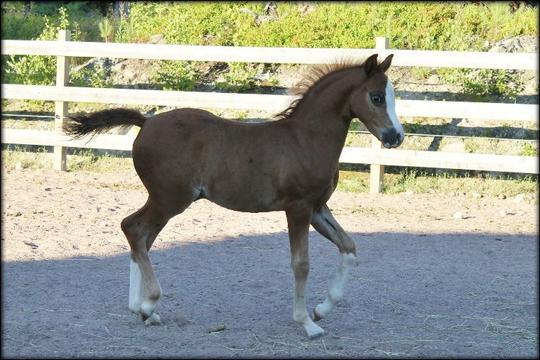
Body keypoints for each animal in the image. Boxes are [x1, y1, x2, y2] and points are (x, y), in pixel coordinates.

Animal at [63, 52, 402, 338]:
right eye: (376, 97)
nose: (396, 136)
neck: (305, 139)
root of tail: (146, 121)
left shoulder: (318, 208)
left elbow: (349, 247)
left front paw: (321, 310)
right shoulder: (298, 208)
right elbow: (301, 264)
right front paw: (307, 323)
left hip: (166, 201)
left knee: (140, 235)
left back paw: (144, 310)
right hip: (169, 199)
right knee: (134, 229)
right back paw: (148, 304)